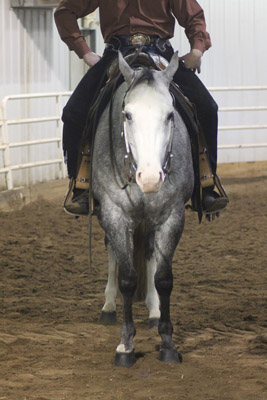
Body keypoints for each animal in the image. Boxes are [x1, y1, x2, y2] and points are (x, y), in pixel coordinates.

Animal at [92, 53, 195, 368]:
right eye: (128, 115)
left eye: (170, 114)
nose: (150, 178)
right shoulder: (115, 214)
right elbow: (126, 278)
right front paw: (126, 346)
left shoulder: (171, 216)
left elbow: (164, 278)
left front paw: (167, 343)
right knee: (112, 252)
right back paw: (108, 307)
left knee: (149, 251)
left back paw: (153, 309)